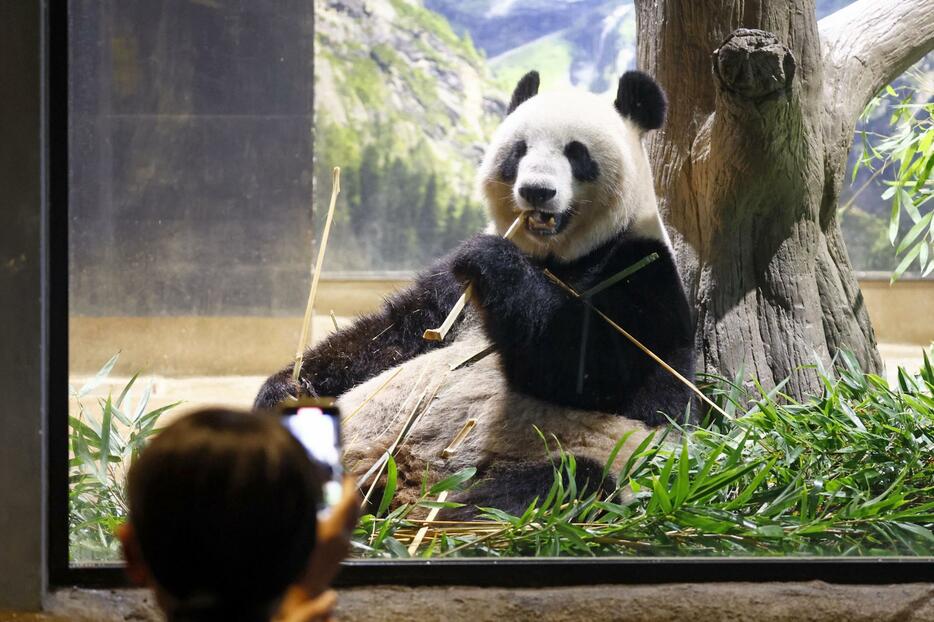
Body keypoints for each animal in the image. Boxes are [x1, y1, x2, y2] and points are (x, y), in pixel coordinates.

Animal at [256, 69, 696, 516]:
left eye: (577, 153)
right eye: (519, 150)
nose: (537, 191)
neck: (554, 258)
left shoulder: (642, 273)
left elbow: (593, 367)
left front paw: (491, 260)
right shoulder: (450, 295)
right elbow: (388, 336)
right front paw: (286, 389)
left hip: (594, 456)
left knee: (558, 483)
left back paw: (446, 514)